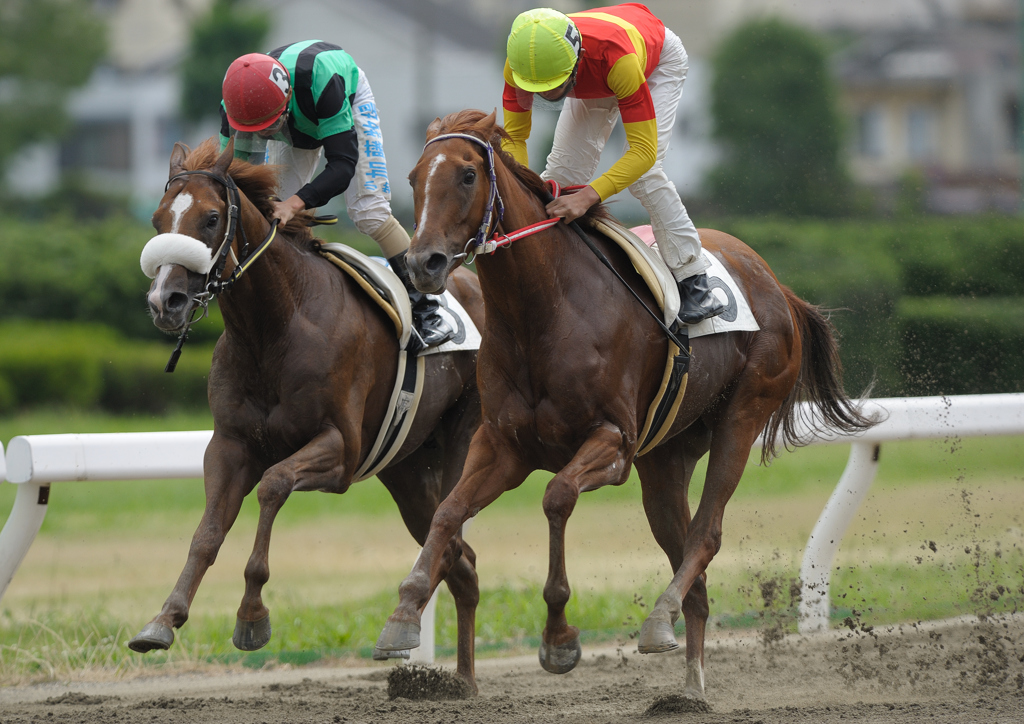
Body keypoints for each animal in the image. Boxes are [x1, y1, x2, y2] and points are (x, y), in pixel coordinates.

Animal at [129, 138, 486, 690]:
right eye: (157, 218)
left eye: (210, 219)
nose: (165, 300)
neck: (275, 325)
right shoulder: (230, 445)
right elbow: (206, 533)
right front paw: (164, 619)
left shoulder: (339, 450)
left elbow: (273, 484)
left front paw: (251, 616)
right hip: (406, 470)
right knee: (457, 559)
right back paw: (458, 676)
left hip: (463, 440)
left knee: (452, 540)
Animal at [374, 110, 875, 700]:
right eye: (412, 178)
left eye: (468, 175)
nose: (423, 263)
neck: (544, 311)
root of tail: (777, 285)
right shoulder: (502, 444)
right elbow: (448, 511)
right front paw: (403, 616)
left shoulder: (613, 442)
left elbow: (557, 496)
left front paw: (559, 637)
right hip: (666, 457)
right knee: (688, 557)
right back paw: (689, 687)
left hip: (743, 414)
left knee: (706, 534)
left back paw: (660, 619)